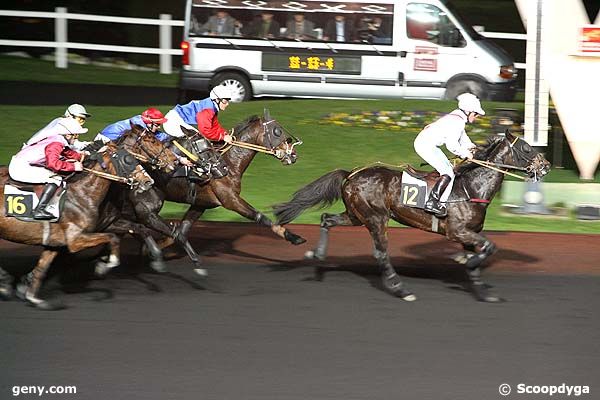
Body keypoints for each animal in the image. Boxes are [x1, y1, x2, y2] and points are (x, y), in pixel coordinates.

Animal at [274, 131, 552, 304]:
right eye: (527, 148)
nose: (547, 165)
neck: (472, 188)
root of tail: (351, 174)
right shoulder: (457, 231)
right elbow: (489, 248)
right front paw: (466, 262)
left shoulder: (469, 234)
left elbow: (479, 258)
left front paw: (484, 292)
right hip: (376, 218)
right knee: (381, 253)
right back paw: (401, 289)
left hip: (356, 215)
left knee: (326, 219)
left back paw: (317, 255)